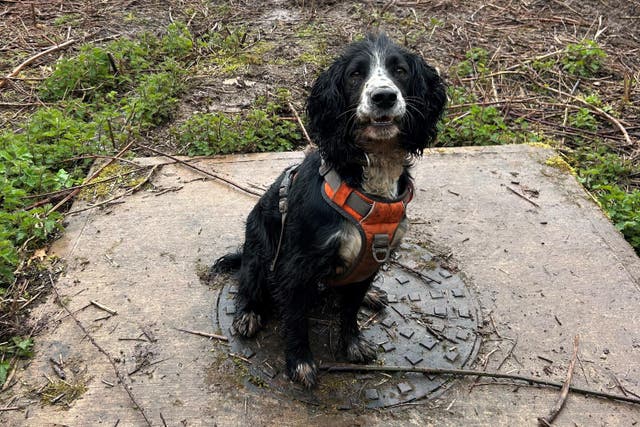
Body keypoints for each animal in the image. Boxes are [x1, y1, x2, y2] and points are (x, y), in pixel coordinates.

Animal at [215, 33, 444, 388]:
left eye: (401, 71)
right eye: (355, 75)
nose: (383, 97)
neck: (368, 181)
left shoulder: (370, 262)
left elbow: (349, 311)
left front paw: (352, 343)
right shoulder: (296, 267)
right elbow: (296, 322)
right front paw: (300, 362)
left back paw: (371, 296)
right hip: (259, 253)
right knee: (248, 283)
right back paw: (248, 314)